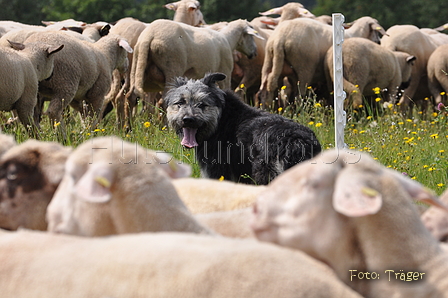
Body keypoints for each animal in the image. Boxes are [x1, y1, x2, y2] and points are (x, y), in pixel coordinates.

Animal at [164, 73, 322, 184]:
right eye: (180, 102)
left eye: (202, 104)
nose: (187, 119)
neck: (221, 119)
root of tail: (296, 142)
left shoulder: (217, 172)